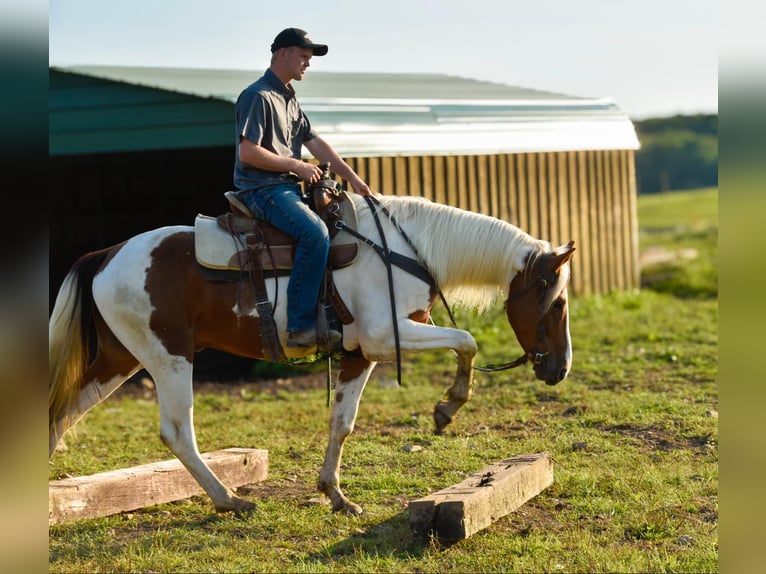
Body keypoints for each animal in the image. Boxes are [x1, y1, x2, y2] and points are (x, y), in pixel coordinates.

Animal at [49, 192, 575, 516]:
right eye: (559, 301)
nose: (560, 369)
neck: (406, 252)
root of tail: (107, 254)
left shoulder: (361, 353)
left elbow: (342, 422)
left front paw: (336, 495)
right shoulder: (386, 336)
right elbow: (466, 340)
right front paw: (447, 408)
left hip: (119, 361)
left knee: (60, 413)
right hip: (169, 359)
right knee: (177, 432)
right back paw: (230, 500)